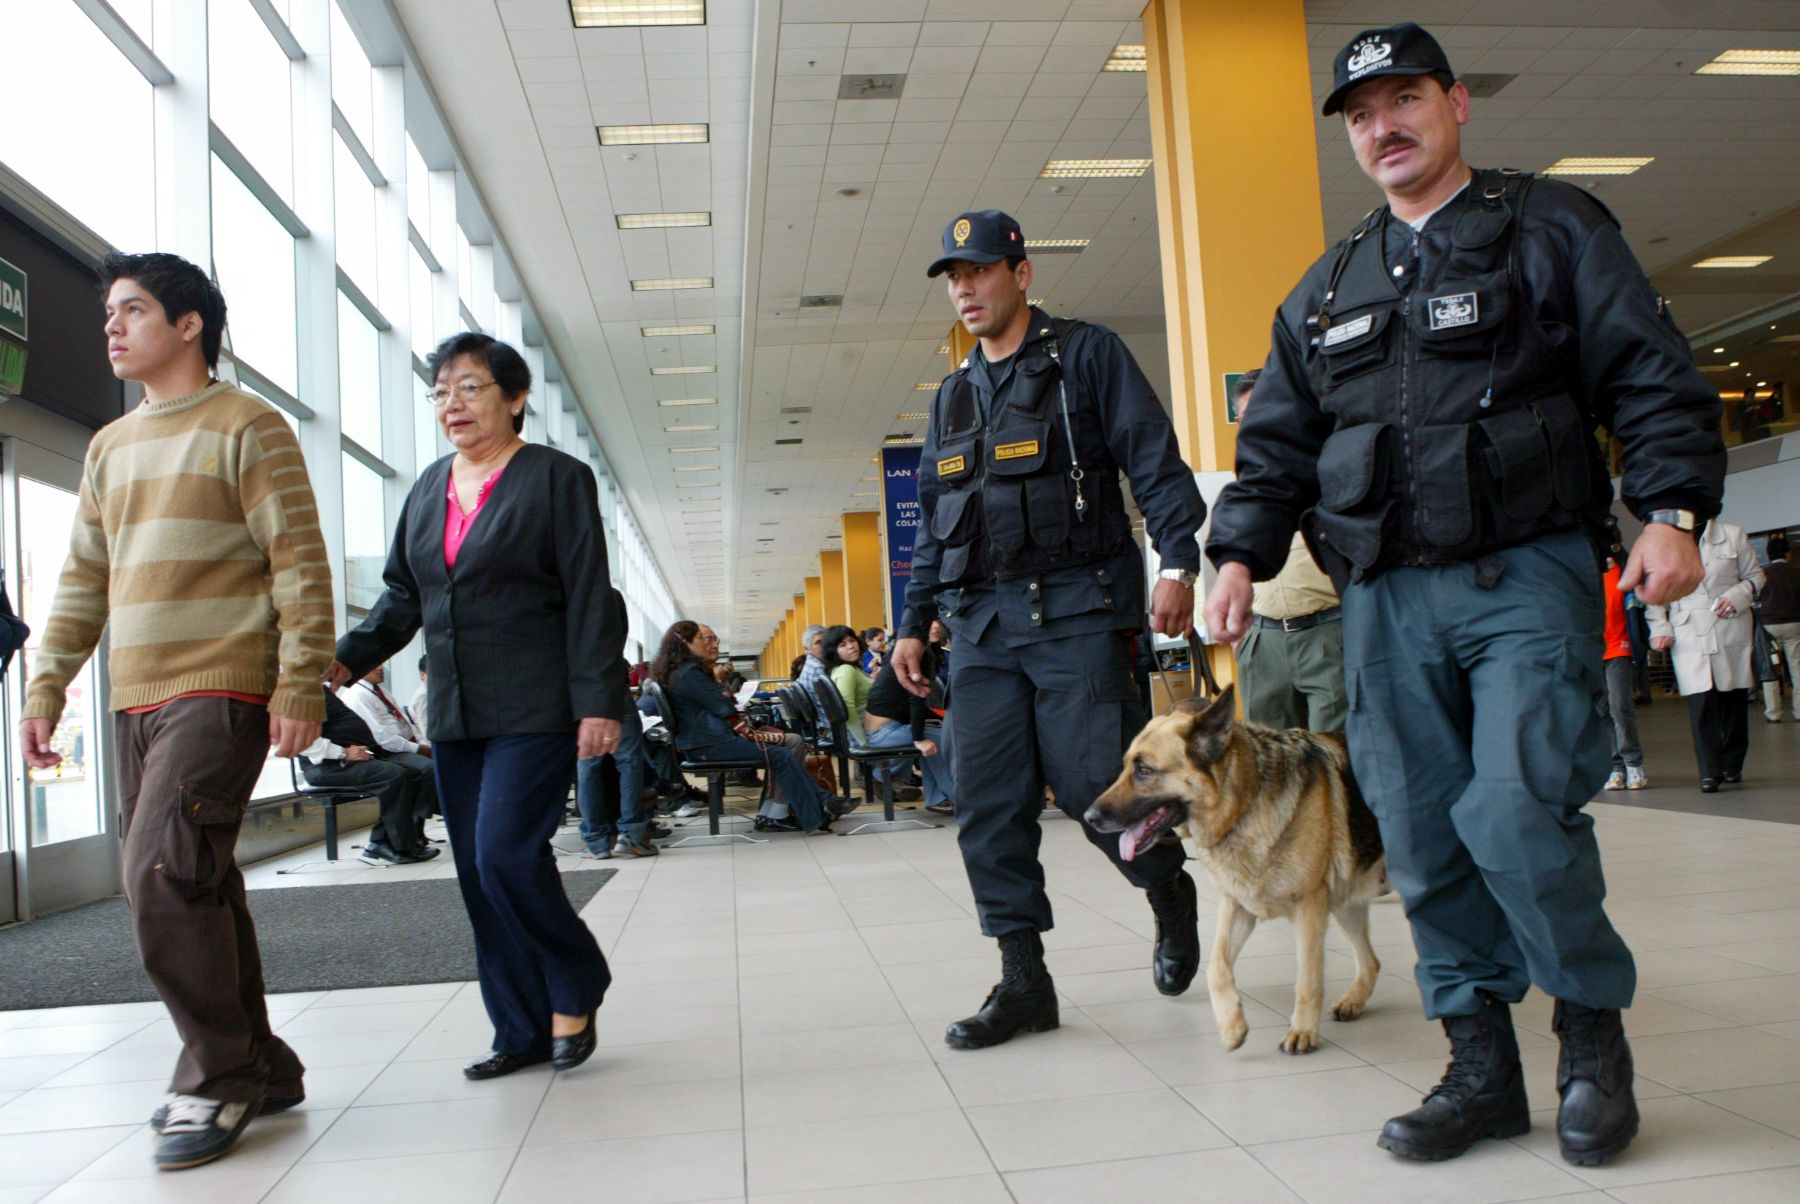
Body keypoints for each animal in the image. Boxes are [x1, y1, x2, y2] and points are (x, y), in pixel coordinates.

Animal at [1080, 683, 1389, 1051]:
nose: (1089, 817)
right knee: (1371, 961)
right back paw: (1353, 1001)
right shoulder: (1237, 905)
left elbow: (1307, 977)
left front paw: (1302, 1030)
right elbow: (1216, 966)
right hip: (1346, 904)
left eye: (1144, 771)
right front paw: (1231, 1024)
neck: (1244, 803)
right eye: (1126, 766)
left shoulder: (1310, 909)